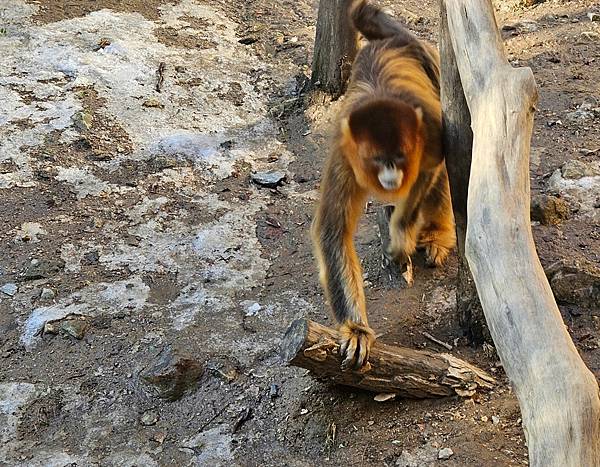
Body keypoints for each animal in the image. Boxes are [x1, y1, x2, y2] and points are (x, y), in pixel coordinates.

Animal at [312, 1, 458, 372]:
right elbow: (333, 231)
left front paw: (402, 236)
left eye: (400, 157)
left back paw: (436, 233)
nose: (391, 177)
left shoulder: (428, 130)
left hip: (432, 62)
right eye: (379, 160)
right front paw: (356, 329)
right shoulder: (344, 155)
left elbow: (433, 166)